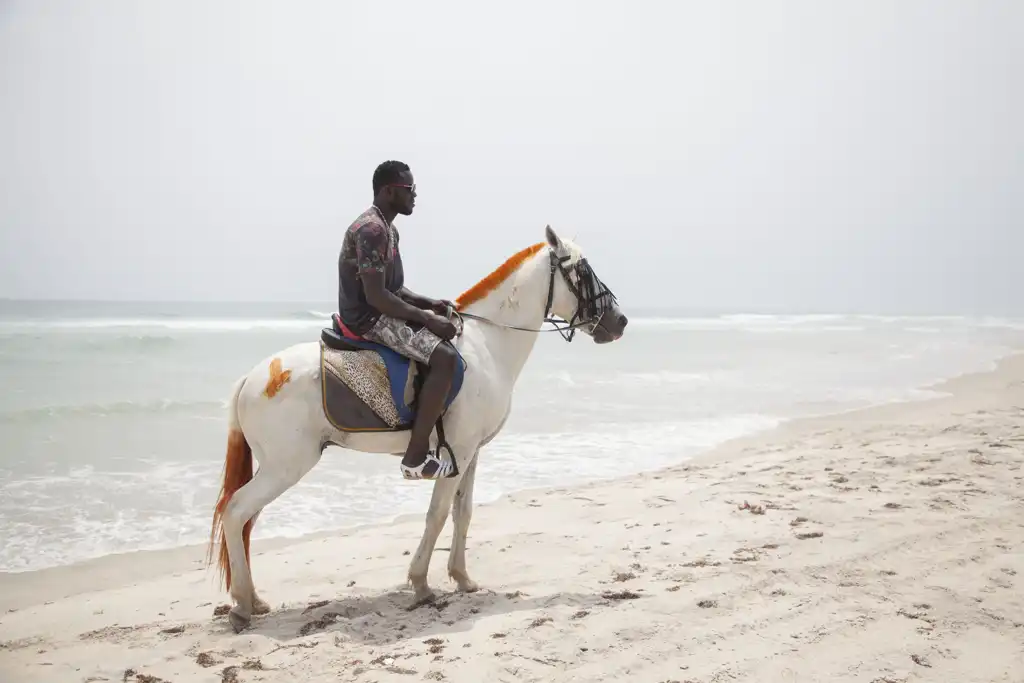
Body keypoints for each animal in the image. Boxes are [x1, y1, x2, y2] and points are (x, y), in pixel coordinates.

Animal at [205, 227, 622, 634]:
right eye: (582, 271)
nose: (620, 321)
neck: (487, 345)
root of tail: (254, 377)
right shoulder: (459, 449)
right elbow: (437, 514)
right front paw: (422, 584)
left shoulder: (471, 452)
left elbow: (463, 513)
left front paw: (463, 578)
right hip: (286, 466)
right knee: (236, 512)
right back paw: (241, 606)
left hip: (274, 467)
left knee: (245, 519)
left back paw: (253, 599)